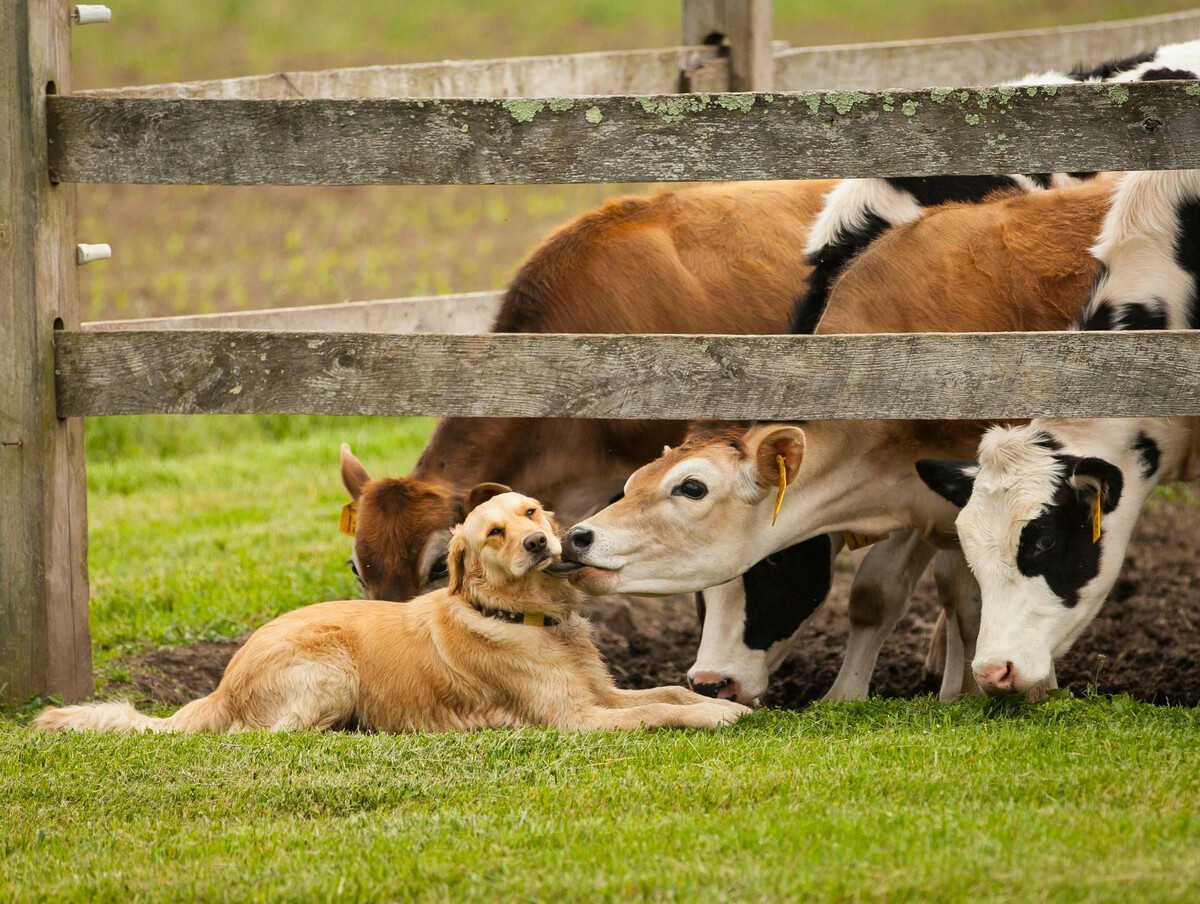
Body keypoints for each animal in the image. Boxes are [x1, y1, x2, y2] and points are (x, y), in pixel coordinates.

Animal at [35, 489, 748, 729]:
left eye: (530, 513)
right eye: (494, 533)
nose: (543, 542)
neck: (525, 617)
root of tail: (222, 685)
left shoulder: (601, 693)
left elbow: (665, 692)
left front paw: (722, 703)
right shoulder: (575, 718)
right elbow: (659, 711)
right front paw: (718, 716)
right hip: (330, 668)